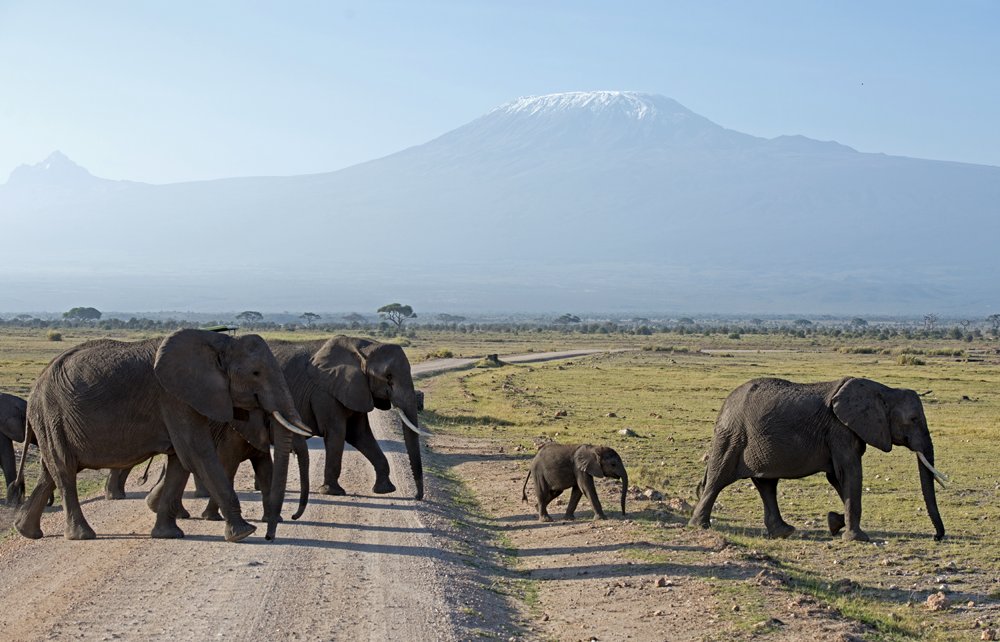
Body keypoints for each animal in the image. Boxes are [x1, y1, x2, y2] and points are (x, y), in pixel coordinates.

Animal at [12, 328, 313, 542]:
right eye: (256, 373)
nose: (270, 536)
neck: (219, 341)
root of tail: (36, 385)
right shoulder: (174, 396)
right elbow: (197, 453)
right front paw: (244, 533)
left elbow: (181, 461)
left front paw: (169, 534)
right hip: (52, 414)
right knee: (64, 470)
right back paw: (82, 535)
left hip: (51, 421)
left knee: (50, 472)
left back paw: (27, 531)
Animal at [268, 336, 429, 500]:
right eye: (388, 376)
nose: (417, 496)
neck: (365, 349)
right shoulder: (325, 392)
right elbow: (337, 433)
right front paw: (332, 492)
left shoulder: (357, 389)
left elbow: (359, 434)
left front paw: (385, 490)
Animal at [689, 377, 947, 542]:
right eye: (913, 419)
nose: (937, 537)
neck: (884, 390)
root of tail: (725, 405)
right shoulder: (839, 430)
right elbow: (849, 472)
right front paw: (857, 538)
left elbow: (838, 477)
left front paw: (835, 522)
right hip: (732, 436)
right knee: (718, 478)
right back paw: (700, 526)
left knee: (767, 483)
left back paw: (783, 532)